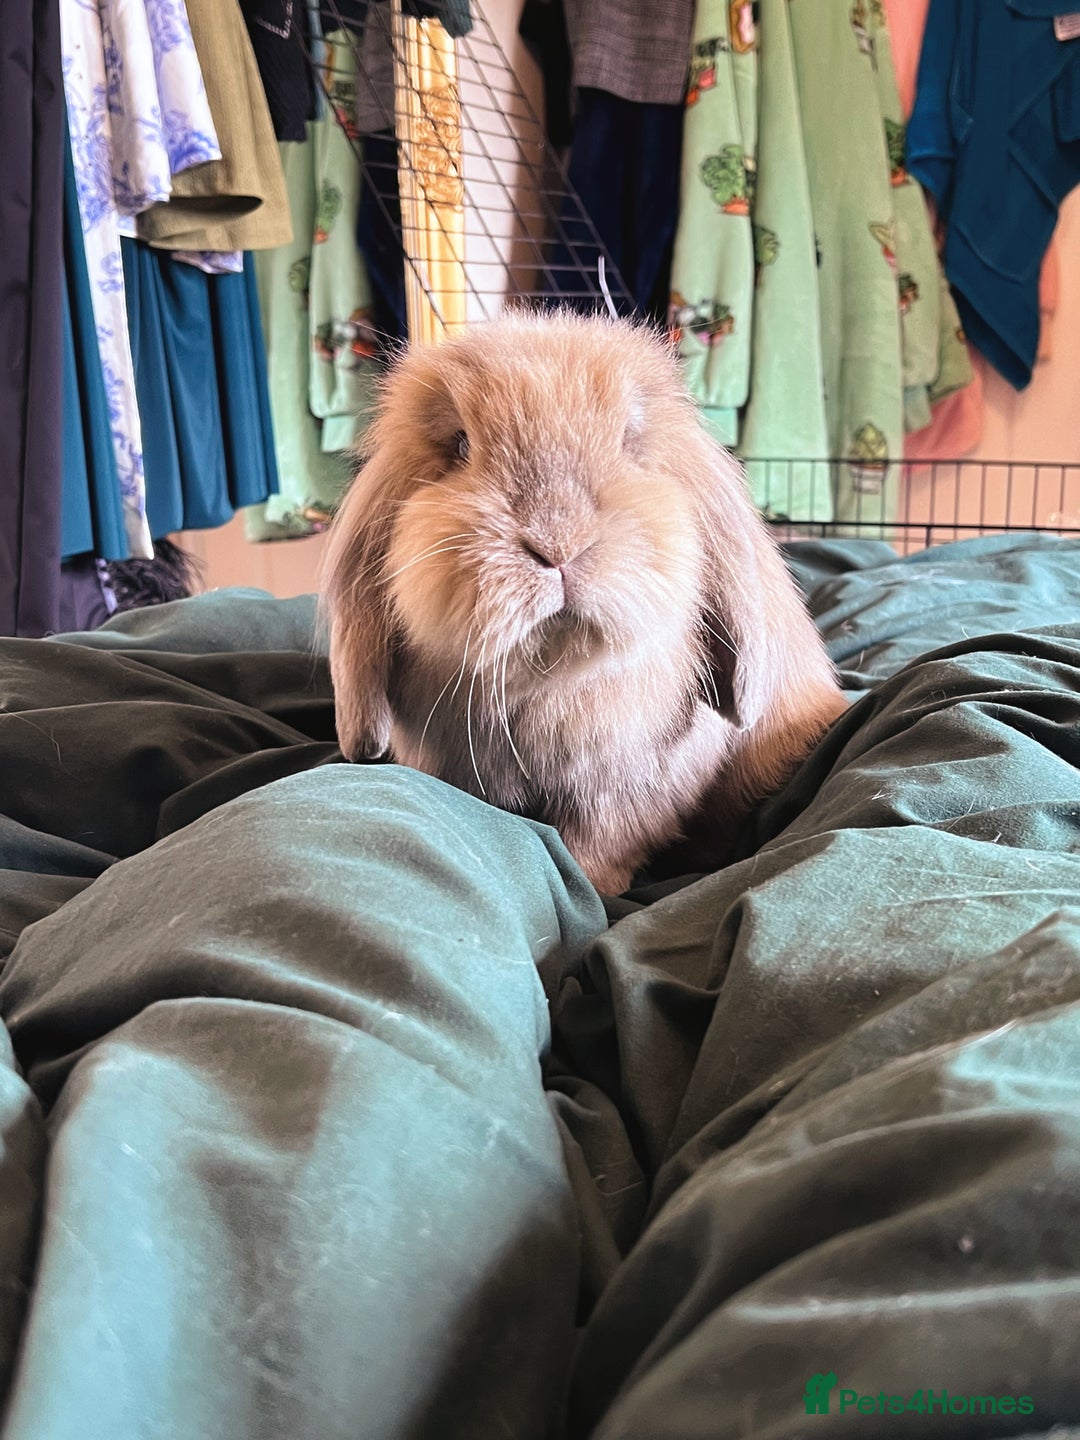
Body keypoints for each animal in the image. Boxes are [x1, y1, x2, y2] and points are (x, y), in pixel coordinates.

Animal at [321, 310, 847, 894]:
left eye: (628, 443)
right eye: (459, 445)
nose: (558, 545)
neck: (553, 678)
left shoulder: (631, 788)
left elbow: (600, 850)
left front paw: (596, 890)